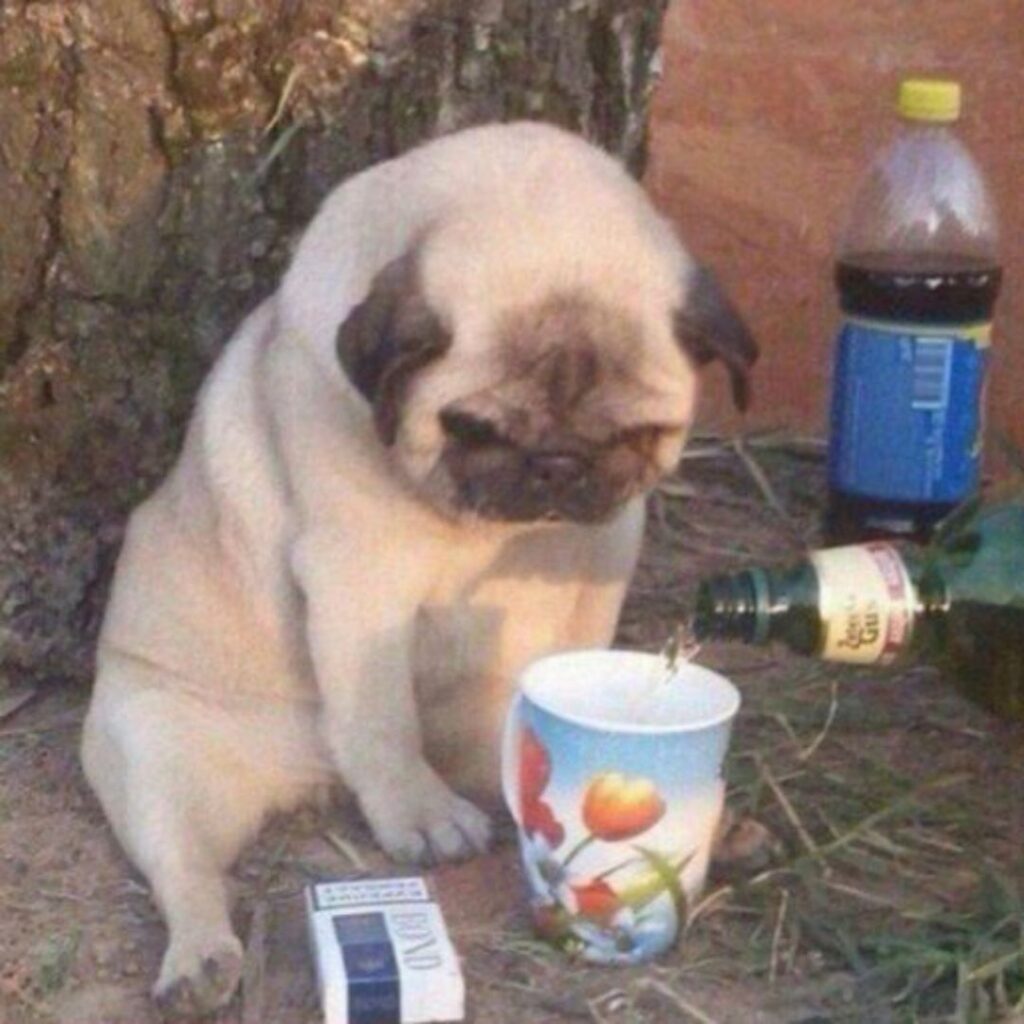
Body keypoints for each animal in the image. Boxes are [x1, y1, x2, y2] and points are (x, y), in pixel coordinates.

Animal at [79, 121, 757, 1015]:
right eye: (472, 426)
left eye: (635, 434)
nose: (558, 463)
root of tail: (317, 777)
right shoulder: (358, 581)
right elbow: (380, 715)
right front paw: (417, 810)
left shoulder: (608, 547)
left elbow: (576, 647)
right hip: (152, 750)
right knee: (183, 867)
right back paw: (201, 958)